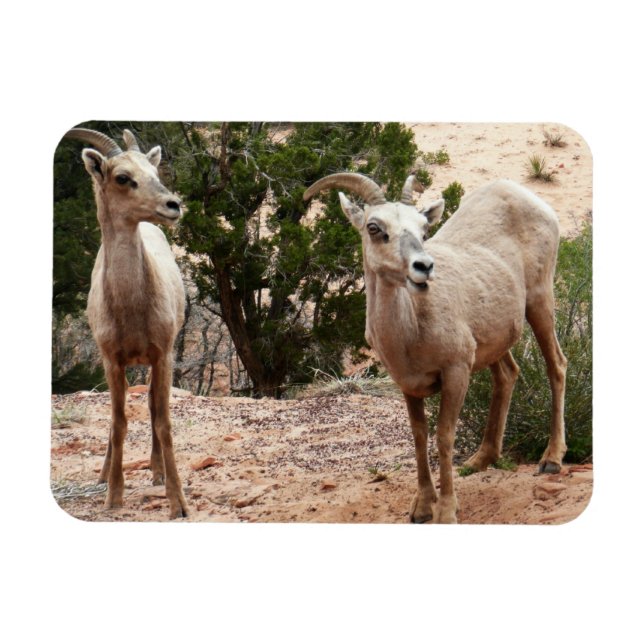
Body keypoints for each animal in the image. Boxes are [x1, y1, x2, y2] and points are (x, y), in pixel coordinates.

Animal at [64, 127, 188, 519]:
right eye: (122, 177)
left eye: (154, 170)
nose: (173, 205)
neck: (131, 308)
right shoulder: (111, 359)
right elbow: (118, 421)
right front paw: (113, 495)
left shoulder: (163, 354)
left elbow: (163, 421)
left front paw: (178, 502)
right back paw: (104, 474)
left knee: (151, 406)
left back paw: (157, 471)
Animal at [304, 173, 567, 524]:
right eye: (374, 227)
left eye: (423, 229)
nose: (424, 267)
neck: (410, 332)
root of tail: (522, 193)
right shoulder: (408, 385)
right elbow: (419, 436)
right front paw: (421, 508)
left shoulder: (456, 372)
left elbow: (444, 436)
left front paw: (446, 511)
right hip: (494, 339)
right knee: (507, 375)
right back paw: (479, 461)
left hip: (539, 301)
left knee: (556, 365)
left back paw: (551, 459)